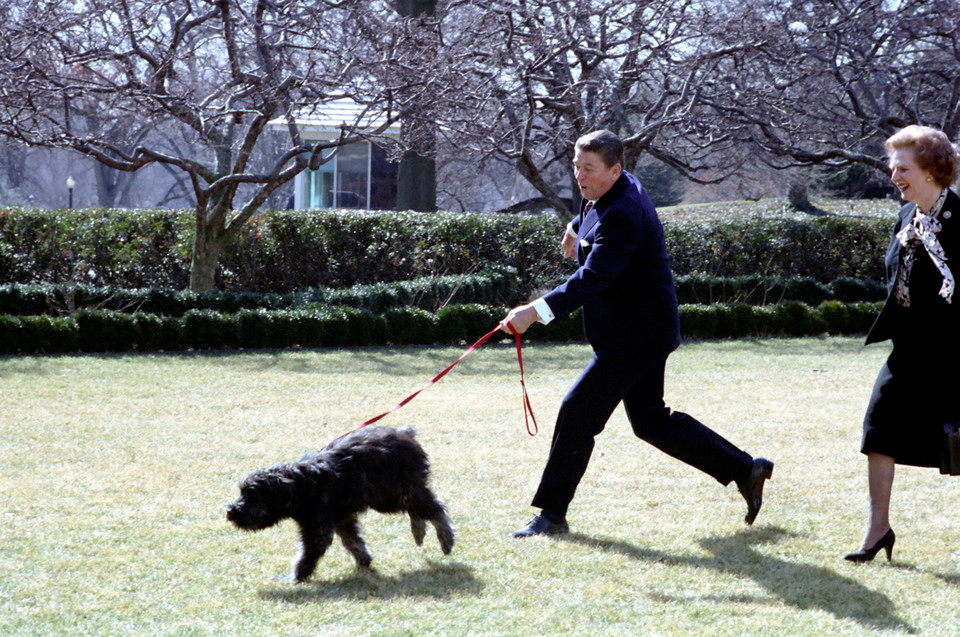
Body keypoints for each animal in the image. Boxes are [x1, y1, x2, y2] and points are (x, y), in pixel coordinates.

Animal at [227, 424, 456, 584]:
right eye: (242, 492)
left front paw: (295, 577)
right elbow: (354, 542)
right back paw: (419, 531)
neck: (301, 484)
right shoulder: (342, 520)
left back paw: (445, 539)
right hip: (391, 496)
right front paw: (364, 563)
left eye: (253, 495)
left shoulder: (318, 528)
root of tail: (407, 433)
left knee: (436, 509)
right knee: (419, 509)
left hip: (397, 493)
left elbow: (307, 554)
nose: (230, 511)